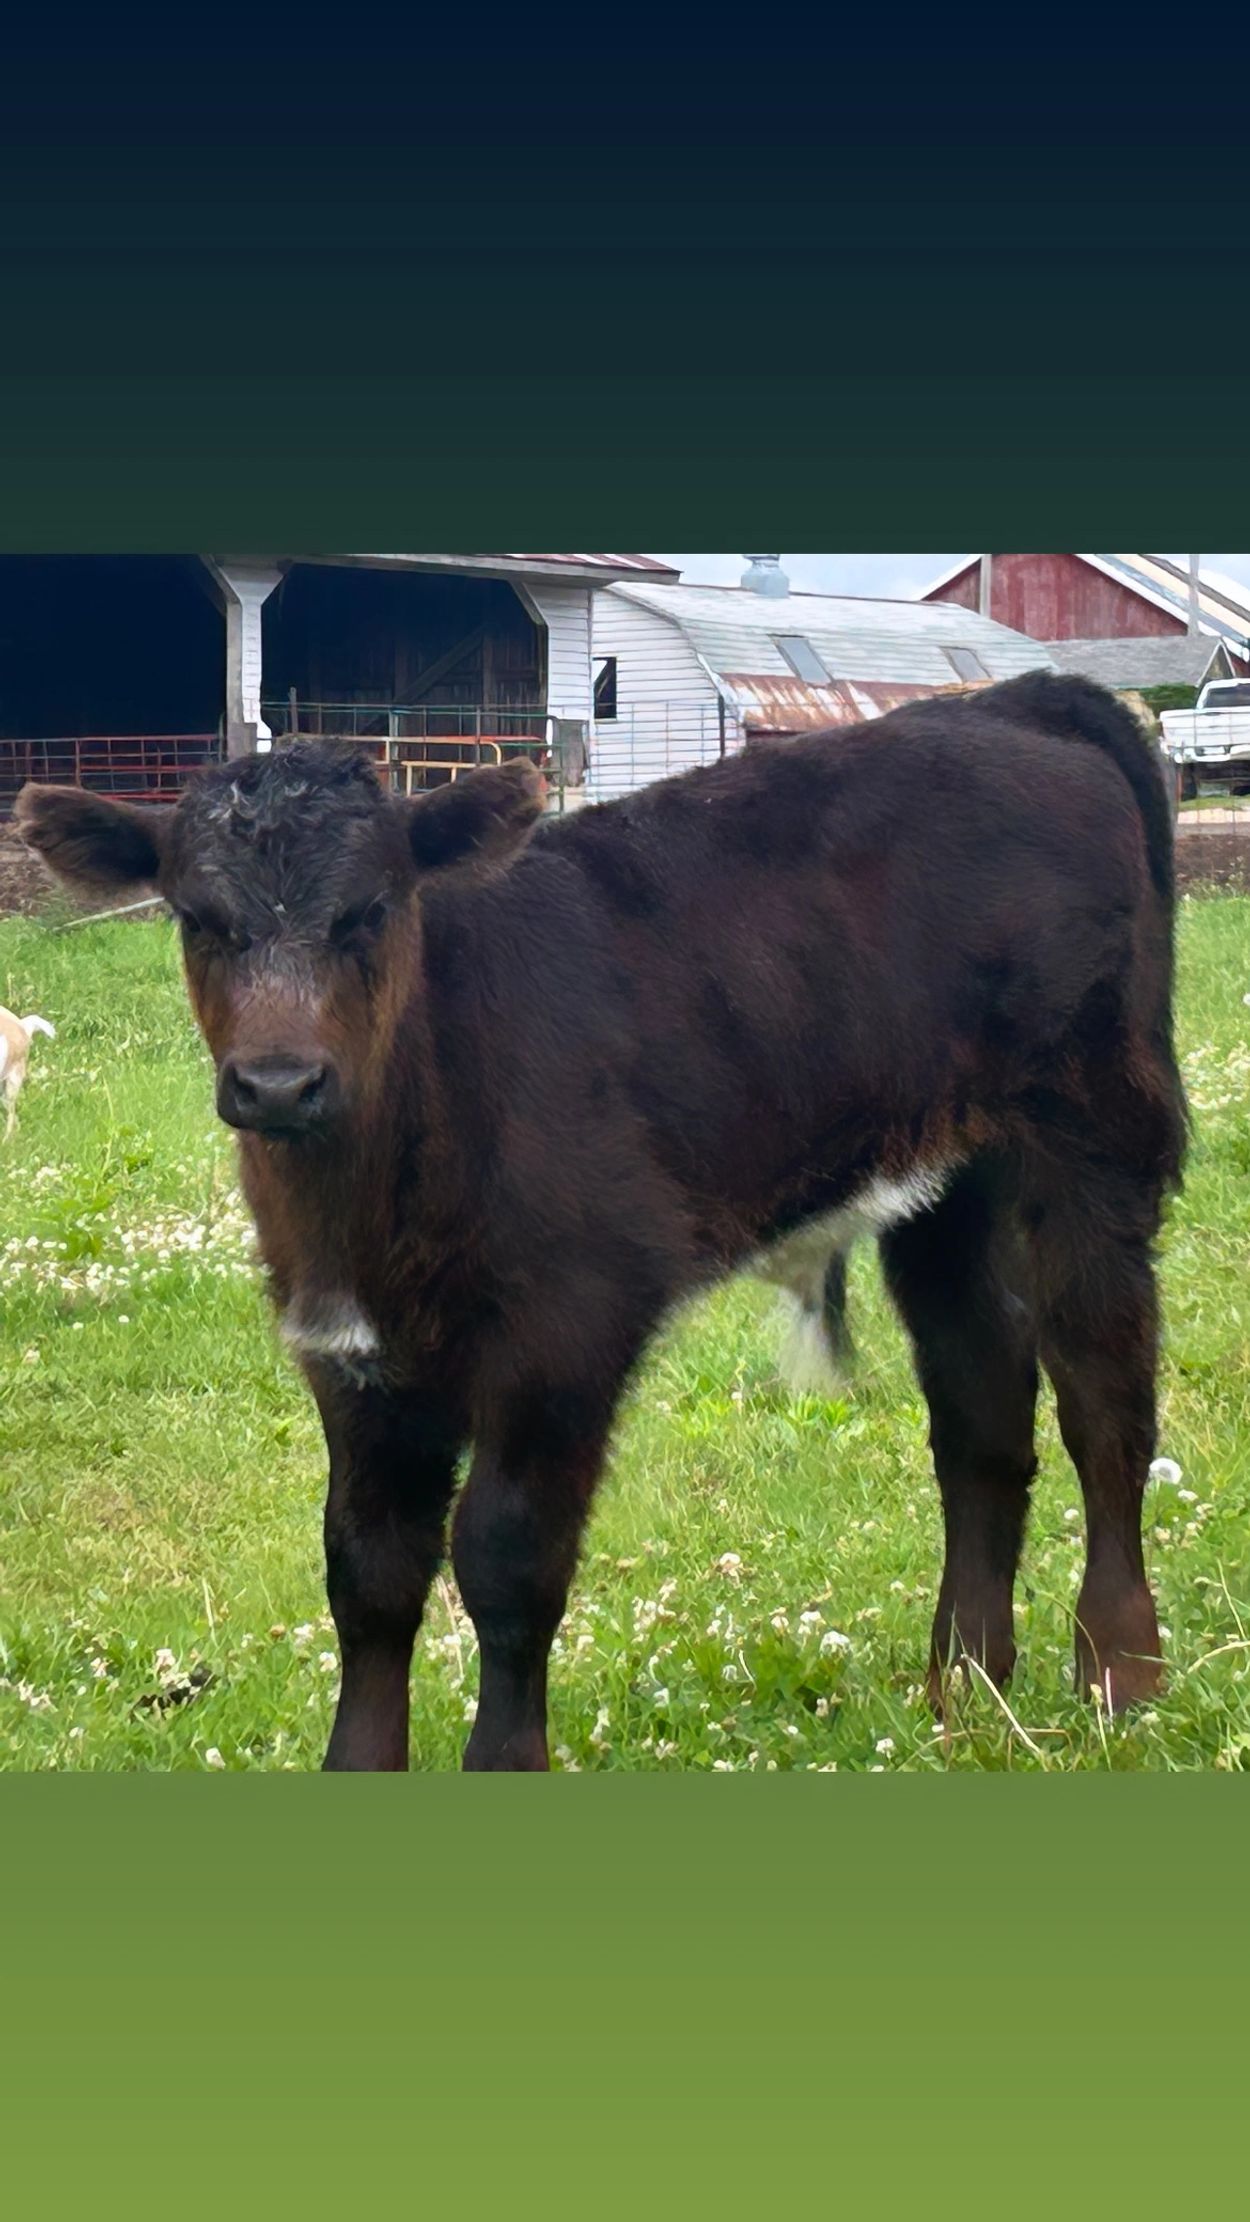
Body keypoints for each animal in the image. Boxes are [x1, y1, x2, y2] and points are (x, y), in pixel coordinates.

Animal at [16, 673, 1186, 1770]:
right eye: (198, 919)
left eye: (371, 911)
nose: (277, 1083)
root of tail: (1013, 703)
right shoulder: (350, 1351)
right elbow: (369, 1571)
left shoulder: (567, 1324)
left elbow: (506, 1560)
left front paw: (504, 1761)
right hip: (947, 1177)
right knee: (981, 1408)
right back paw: (967, 1683)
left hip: (1091, 1127)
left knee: (1103, 1397)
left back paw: (1119, 1669)